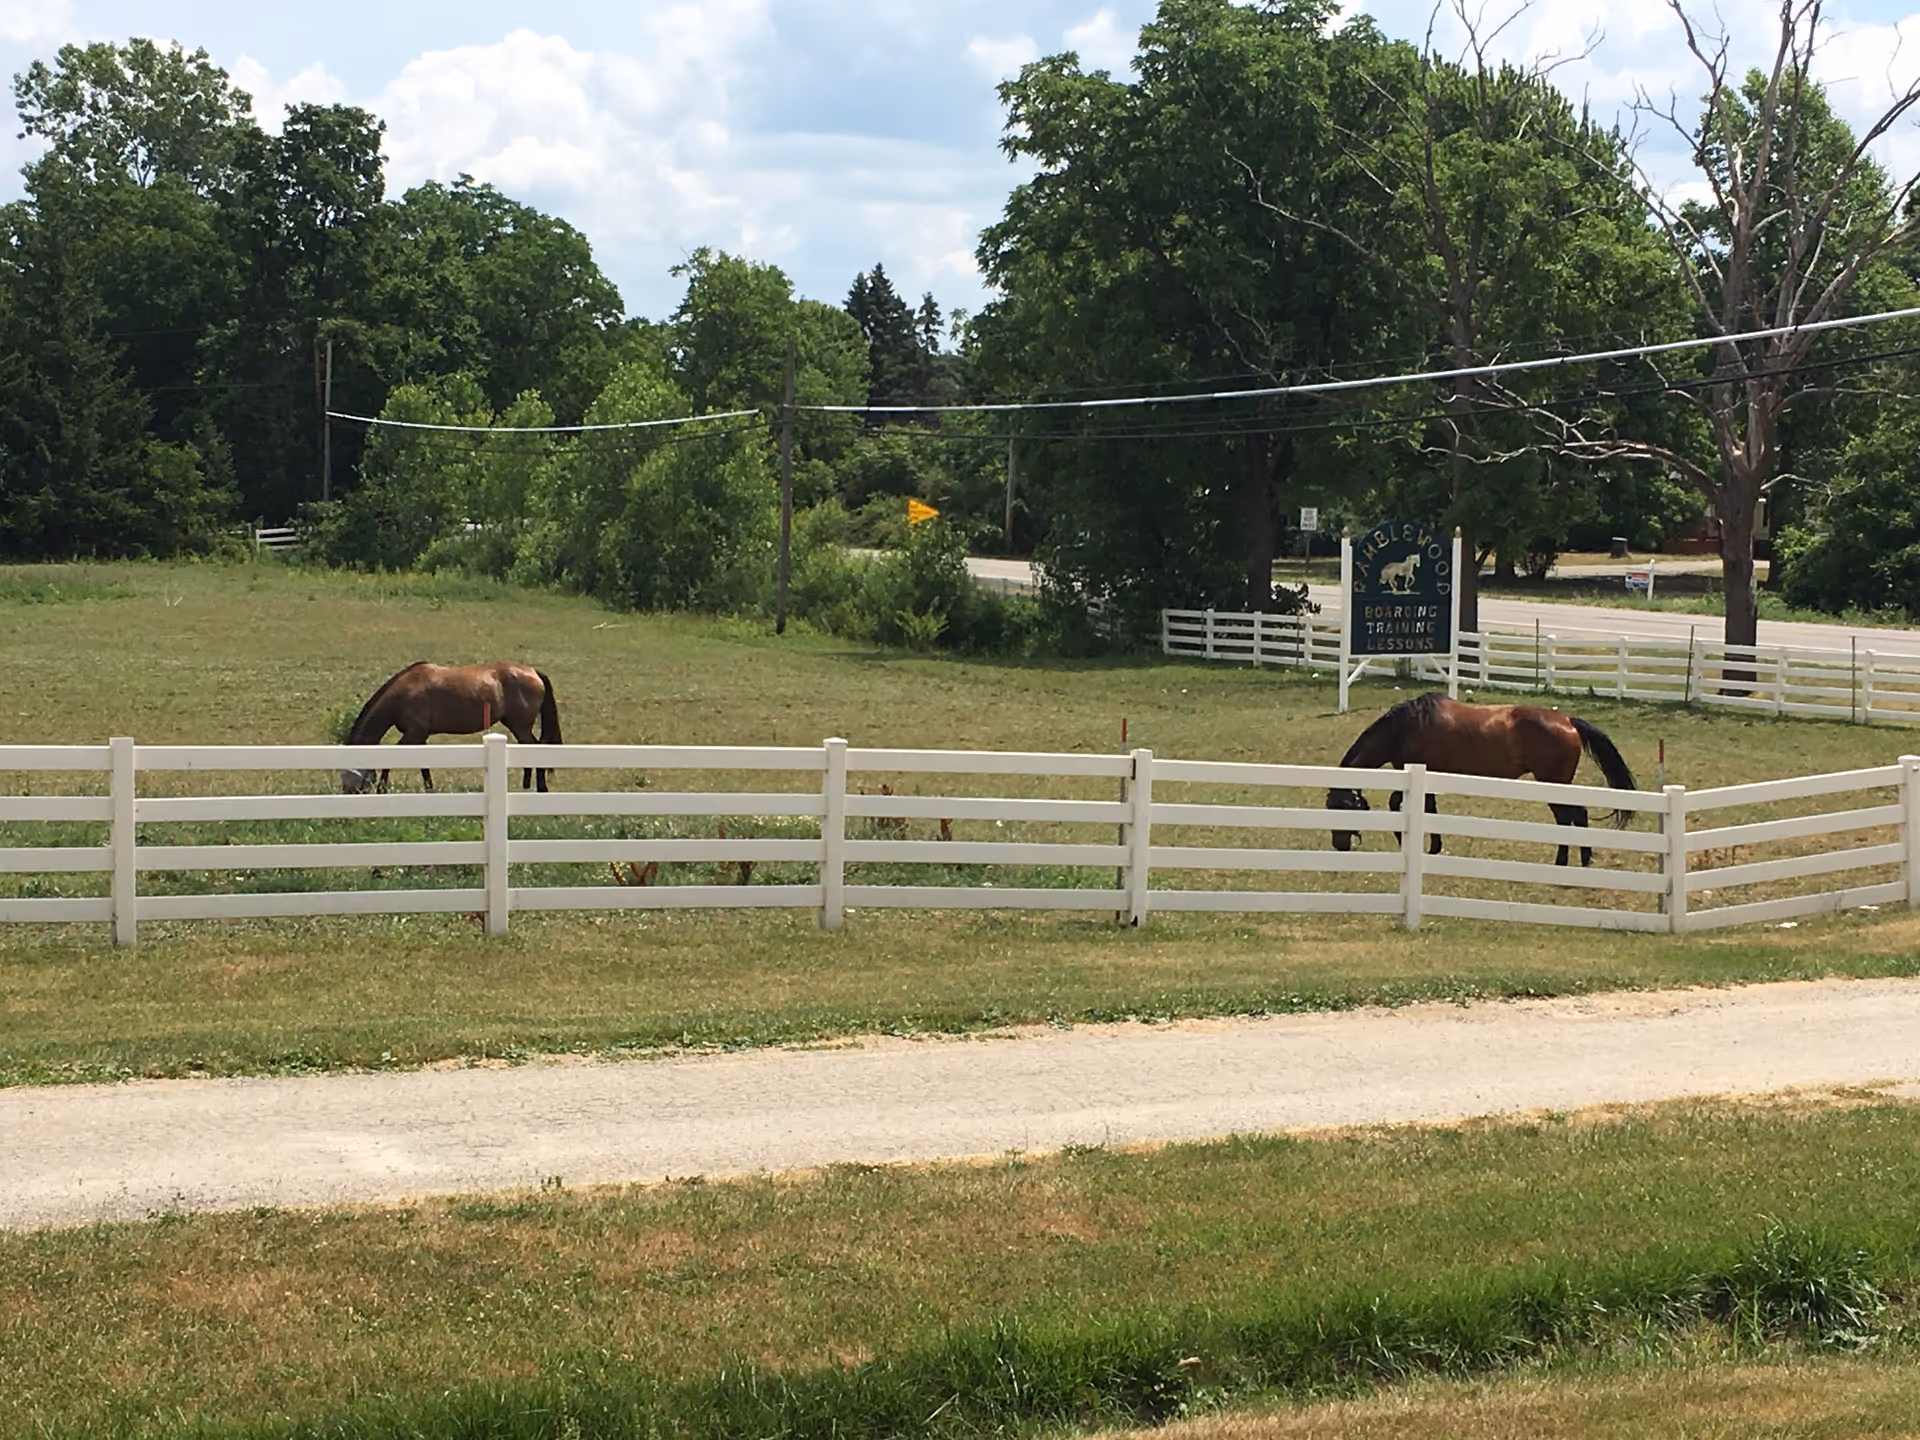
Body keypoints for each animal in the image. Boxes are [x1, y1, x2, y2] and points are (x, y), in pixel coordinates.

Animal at [340, 662, 562, 795]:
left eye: (348, 779)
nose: (346, 795)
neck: (405, 692)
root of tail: (533, 672)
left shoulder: (414, 734)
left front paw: (382, 789)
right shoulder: (420, 737)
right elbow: (424, 766)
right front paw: (430, 789)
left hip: (520, 726)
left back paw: (541, 788)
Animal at [1325, 692, 1638, 867]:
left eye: (1342, 807)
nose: (1339, 845)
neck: (1406, 728)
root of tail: (1569, 721)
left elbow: (1397, 804)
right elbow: (1430, 810)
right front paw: (1434, 847)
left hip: (1553, 783)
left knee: (1570, 817)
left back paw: (1566, 861)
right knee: (1574, 816)